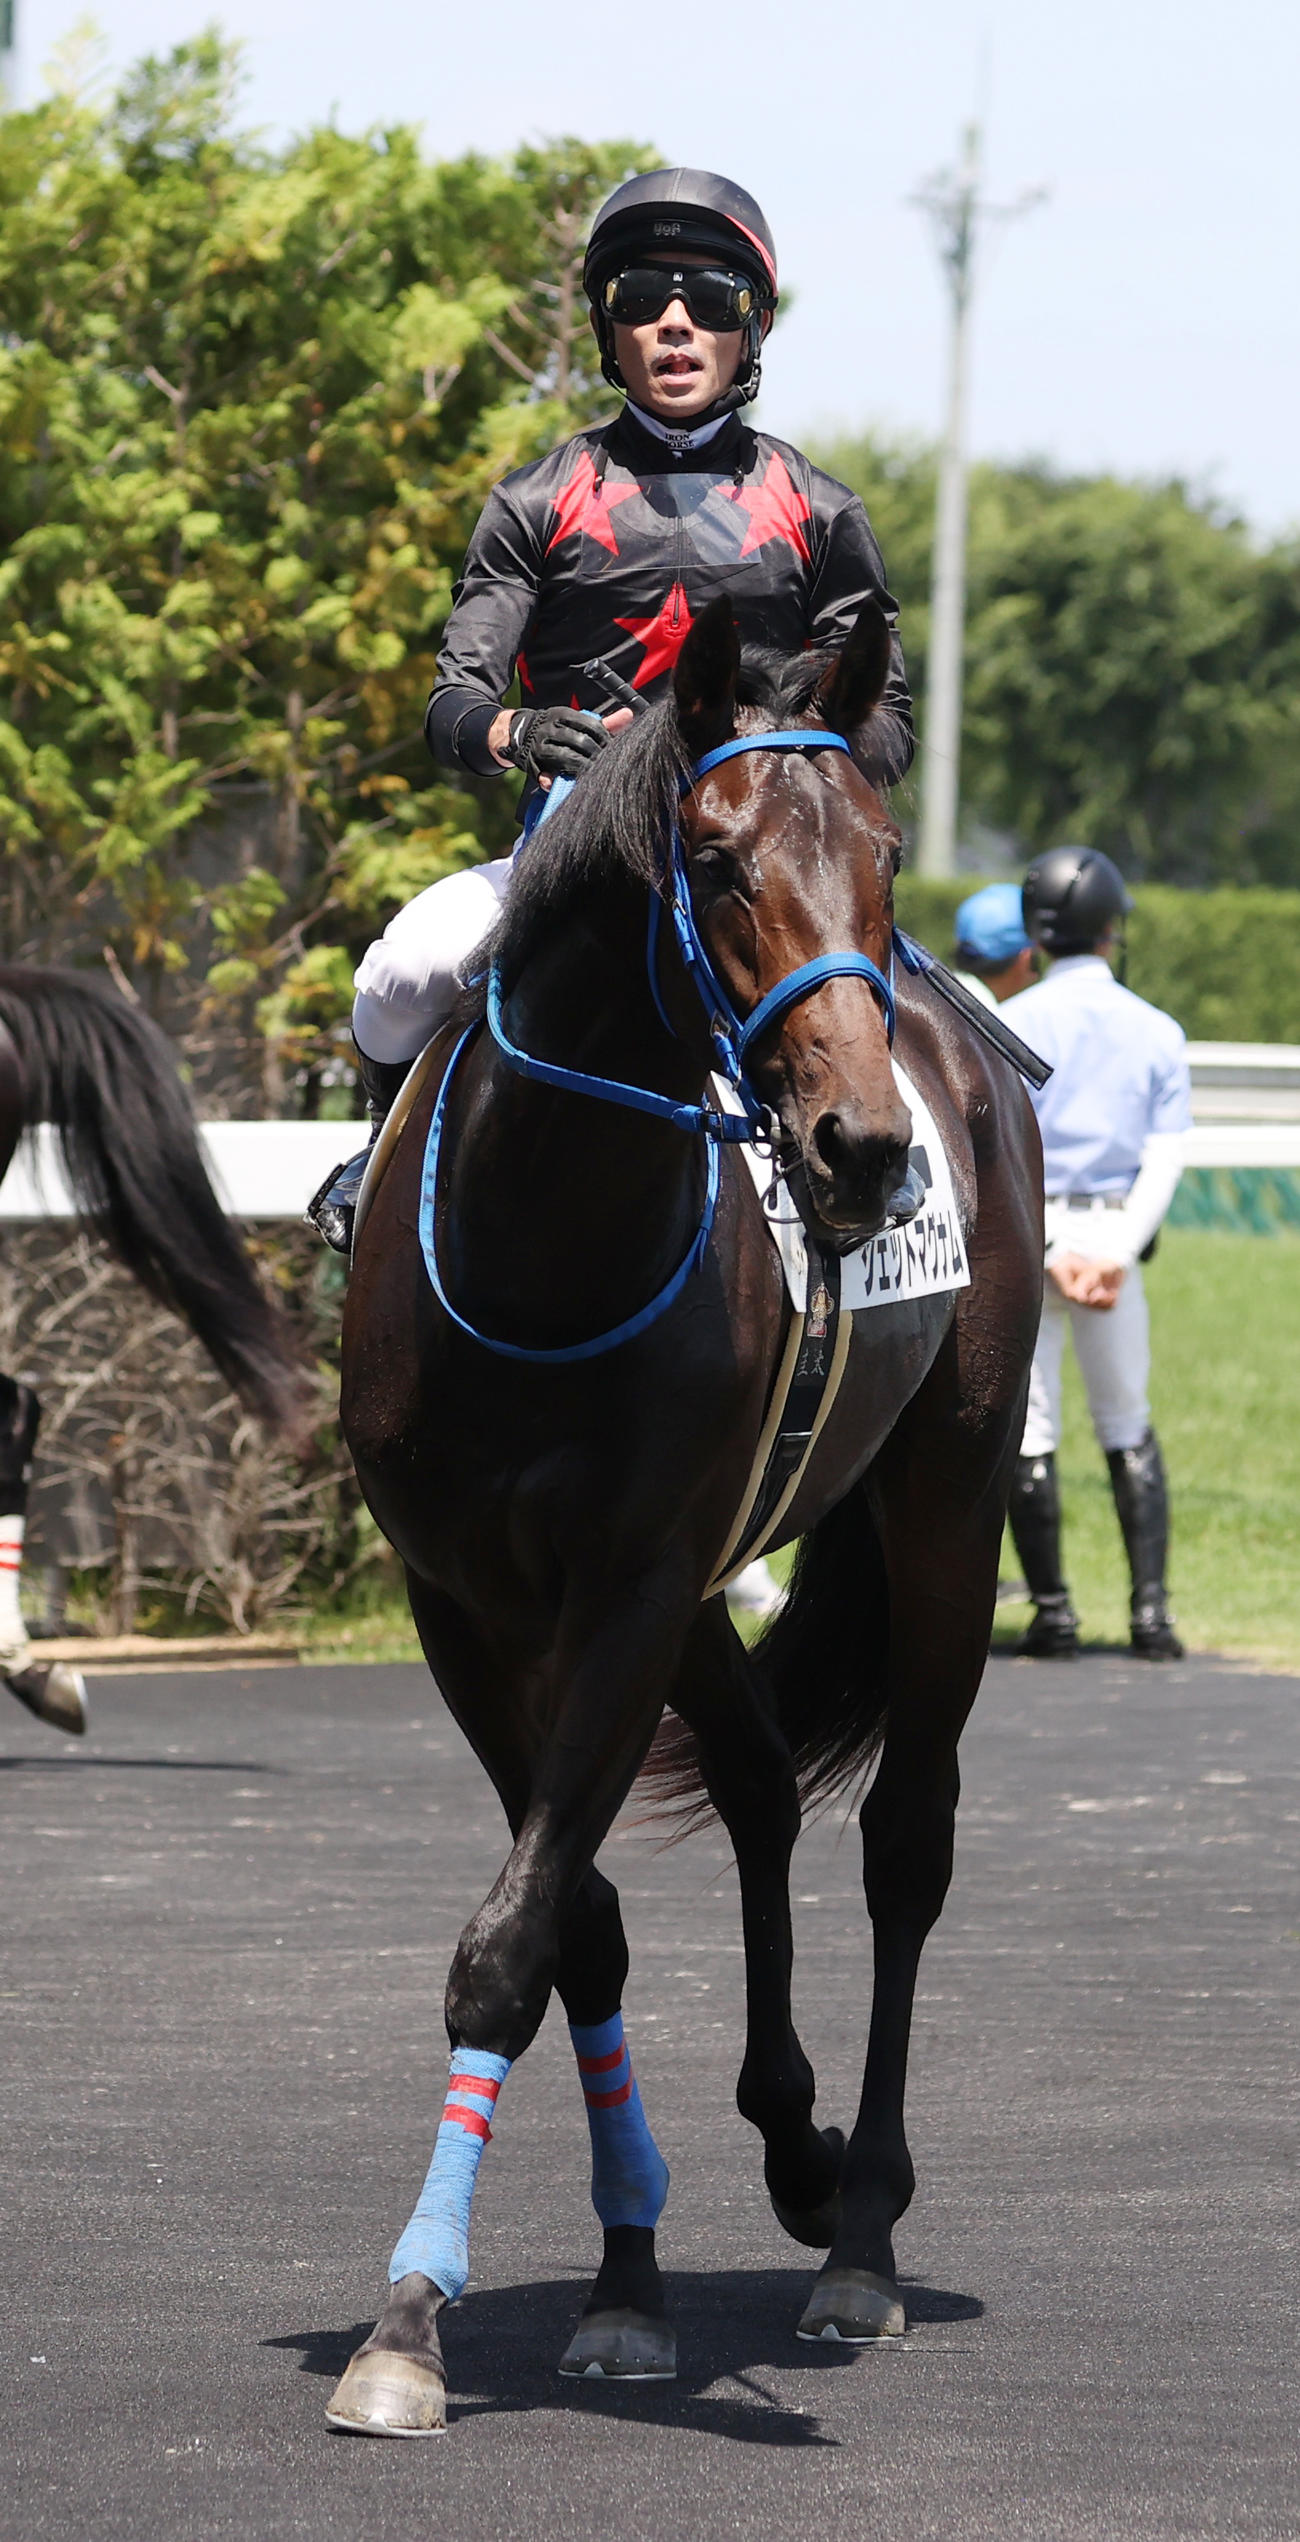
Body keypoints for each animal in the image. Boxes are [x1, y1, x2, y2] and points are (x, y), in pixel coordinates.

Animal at [329, 595, 1044, 2435]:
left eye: (884, 858)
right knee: (760, 1788)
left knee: (903, 1840)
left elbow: (518, 1931)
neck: (542, 1239)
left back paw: (859, 2230)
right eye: (715, 868)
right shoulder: (476, 1604)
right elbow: (569, 1923)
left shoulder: (632, 1585)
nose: (860, 1148)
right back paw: (790, 2146)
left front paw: (408, 2319)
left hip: (946, 1504)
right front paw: (624, 2275)